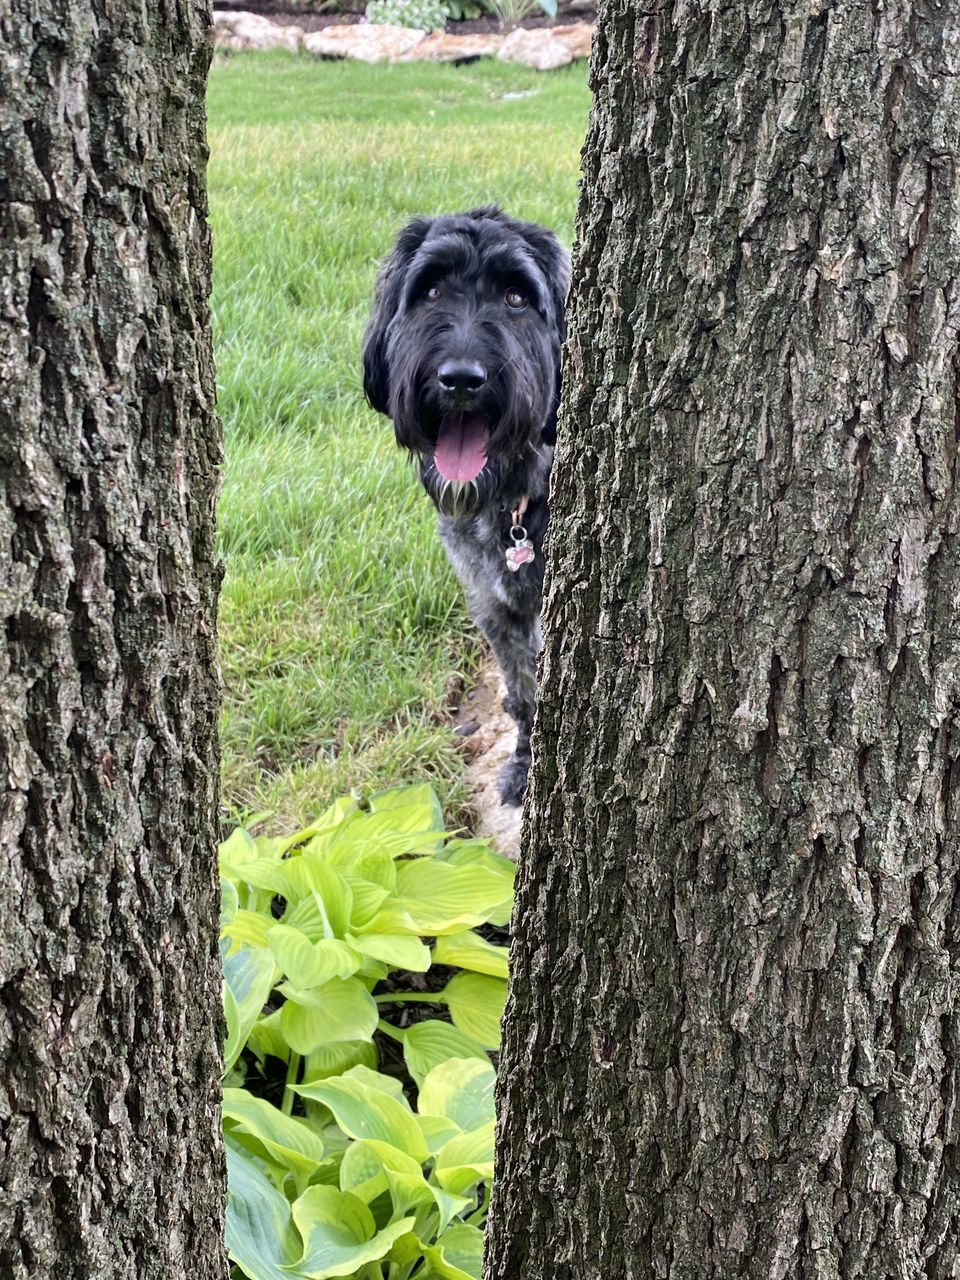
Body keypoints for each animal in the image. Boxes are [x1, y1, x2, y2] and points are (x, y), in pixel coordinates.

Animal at [360, 204, 570, 803]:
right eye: (430, 290)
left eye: (517, 297)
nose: (459, 380)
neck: (514, 501)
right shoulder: (493, 606)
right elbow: (524, 695)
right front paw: (525, 766)